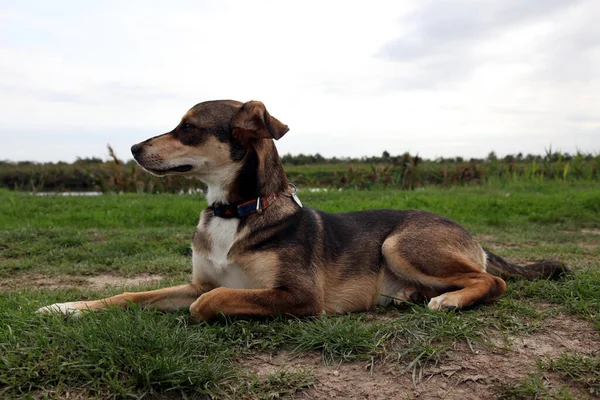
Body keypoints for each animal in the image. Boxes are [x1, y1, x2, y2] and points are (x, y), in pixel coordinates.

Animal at [35, 101, 568, 322]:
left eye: (187, 128)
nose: (131, 148)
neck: (234, 211)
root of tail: (470, 234)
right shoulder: (196, 282)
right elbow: (130, 295)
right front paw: (67, 307)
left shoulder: (298, 295)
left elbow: (208, 303)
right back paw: (413, 296)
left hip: (400, 242)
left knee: (492, 281)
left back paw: (450, 301)